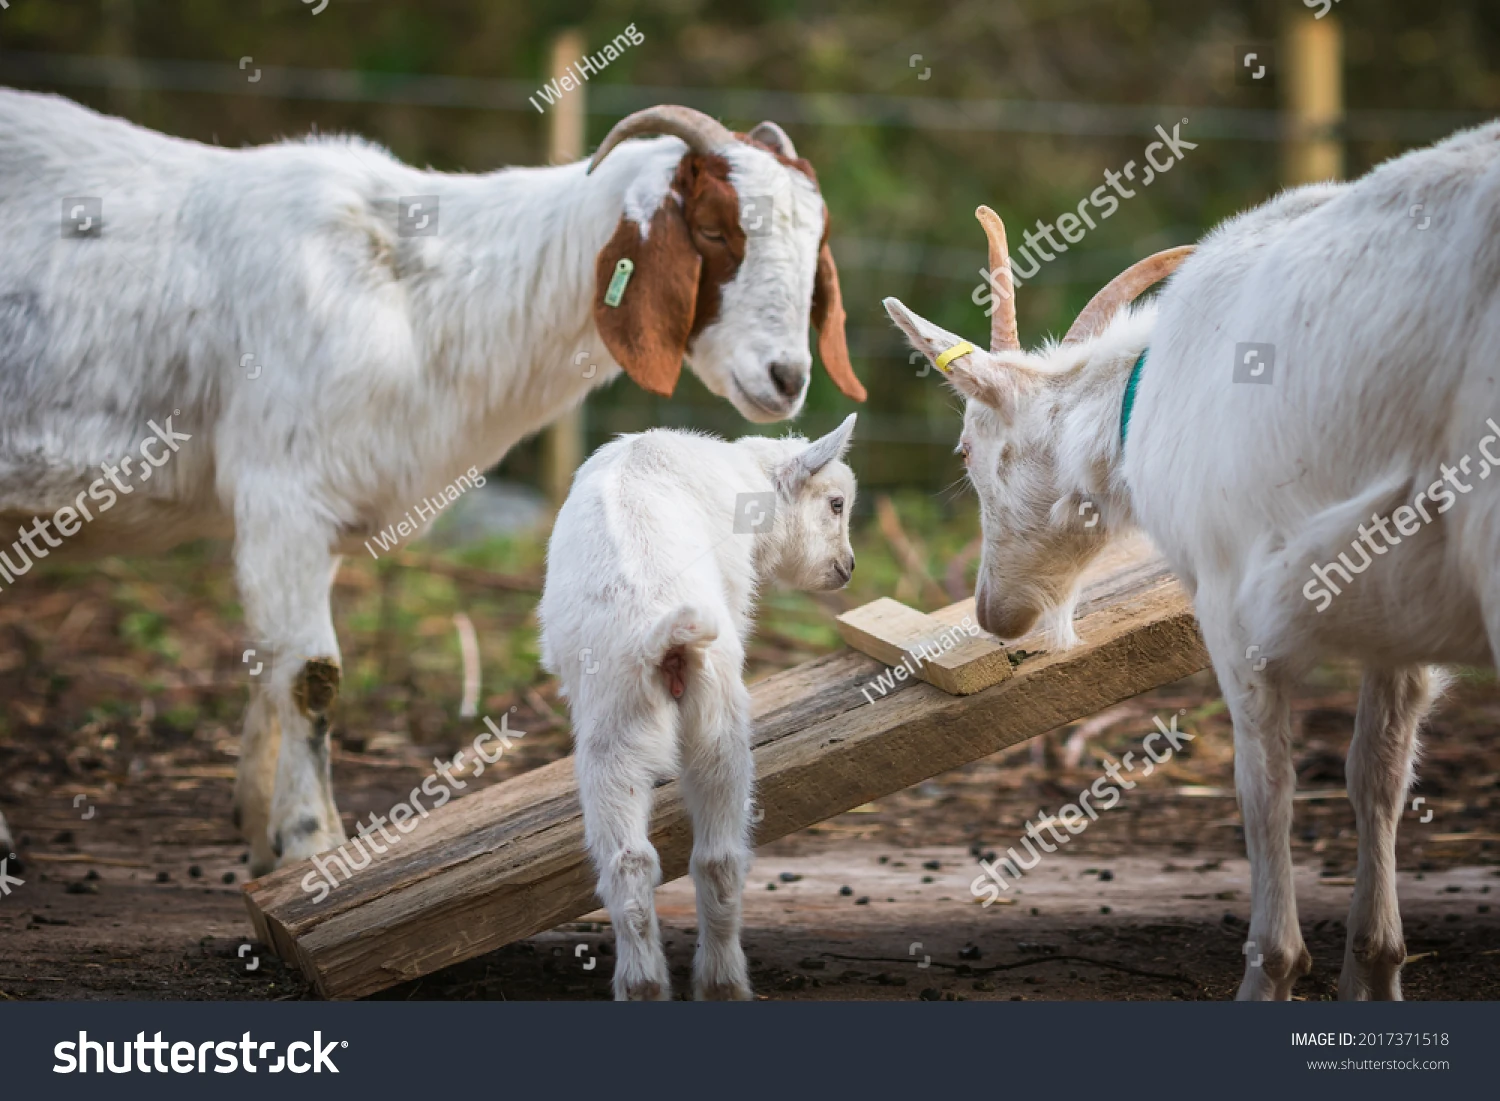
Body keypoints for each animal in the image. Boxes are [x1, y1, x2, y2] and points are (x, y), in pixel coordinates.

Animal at [0, 90, 865, 874]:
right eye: (715, 229)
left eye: (816, 242)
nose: (786, 378)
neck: (414, 296)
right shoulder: (283, 491)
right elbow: (310, 676)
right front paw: (312, 844)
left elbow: (268, 666)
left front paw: (259, 832)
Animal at [538, 415, 858, 999]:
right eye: (836, 503)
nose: (846, 568)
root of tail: (665, 635)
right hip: (711, 717)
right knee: (717, 856)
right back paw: (720, 983)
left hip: (620, 728)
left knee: (637, 861)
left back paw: (649, 985)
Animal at [886, 121, 1500, 1000]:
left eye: (967, 449)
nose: (993, 611)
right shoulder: (1397, 616)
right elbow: (1375, 772)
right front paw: (1373, 969)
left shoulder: (1231, 596)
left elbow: (1264, 786)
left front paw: (1271, 969)